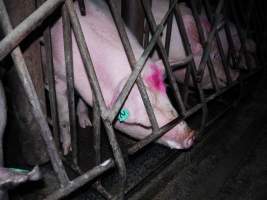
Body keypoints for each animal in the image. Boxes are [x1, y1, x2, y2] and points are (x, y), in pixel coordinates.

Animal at [51, 0, 196, 155]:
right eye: (146, 125)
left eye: (167, 98)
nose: (191, 135)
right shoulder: (58, 76)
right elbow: (64, 116)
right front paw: (66, 150)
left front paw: (86, 124)